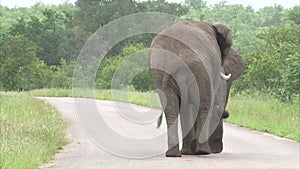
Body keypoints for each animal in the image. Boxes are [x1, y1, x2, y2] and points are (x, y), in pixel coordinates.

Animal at [149, 21, 245, 157]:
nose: (226, 113)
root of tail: (172, 57)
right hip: (197, 68)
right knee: (204, 105)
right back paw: (203, 151)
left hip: (160, 68)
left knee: (172, 108)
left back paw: (176, 153)